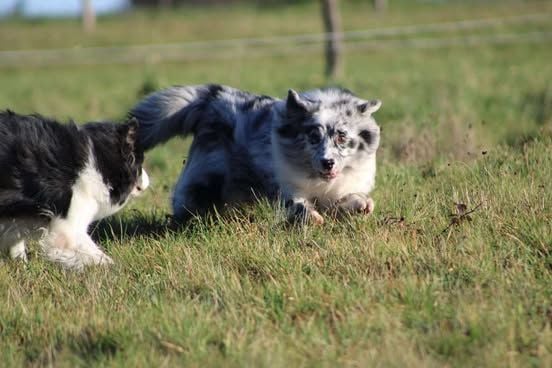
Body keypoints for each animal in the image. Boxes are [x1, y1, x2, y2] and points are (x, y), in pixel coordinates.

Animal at [0, 110, 149, 268]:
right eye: (139, 163)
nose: (147, 183)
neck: (99, 162)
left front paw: (22, 264)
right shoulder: (68, 227)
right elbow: (94, 253)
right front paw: (114, 267)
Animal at [130, 85, 380, 224]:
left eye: (341, 136)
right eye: (313, 137)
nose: (327, 163)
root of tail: (214, 98)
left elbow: (350, 199)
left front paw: (362, 204)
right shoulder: (285, 188)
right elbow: (298, 204)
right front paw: (312, 217)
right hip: (207, 176)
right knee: (186, 200)